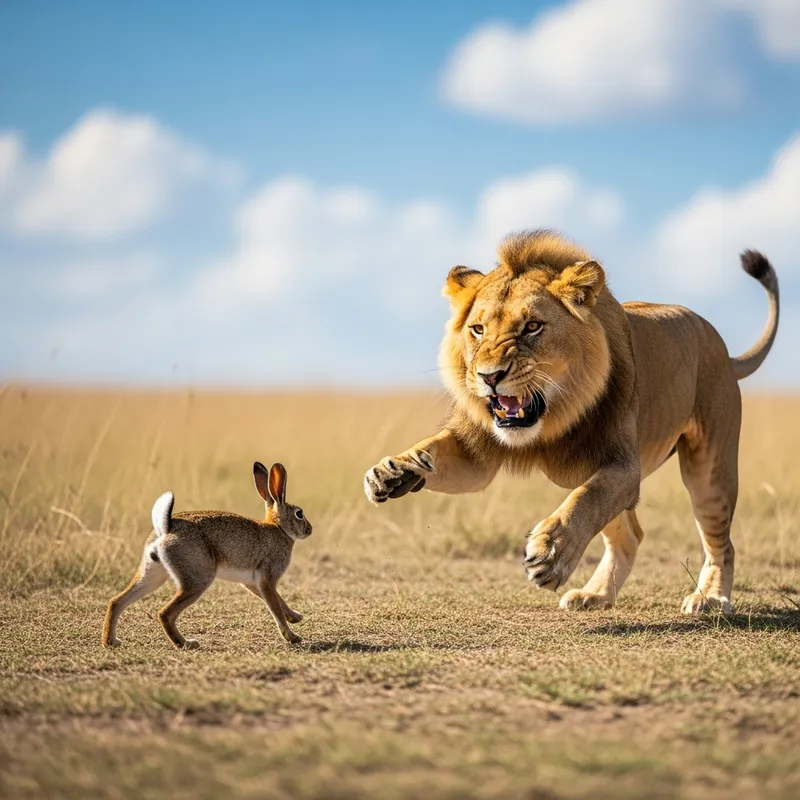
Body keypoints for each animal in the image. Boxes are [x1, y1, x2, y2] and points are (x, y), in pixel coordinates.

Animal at [102, 461, 311, 650]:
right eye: (299, 513)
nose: (309, 529)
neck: (279, 528)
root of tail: (166, 529)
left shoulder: (253, 583)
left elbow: (279, 600)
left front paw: (295, 616)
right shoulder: (267, 579)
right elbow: (275, 608)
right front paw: (293, 637)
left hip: (153, 574)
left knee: (117, 601)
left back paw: (110, 641)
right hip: (198, 579)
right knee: (165, 614)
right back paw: (187, 643)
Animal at [364, 230, 779, 614]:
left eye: (532, 327)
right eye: (477, 330)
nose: (489, 376)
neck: (548, 419)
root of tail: (722, 347)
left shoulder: (622, 466)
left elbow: (585, 500)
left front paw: (551, 555)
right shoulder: (475, 453)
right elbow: (436, 451)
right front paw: (395, 471)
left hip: (709, 471)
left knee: (721, 543)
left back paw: (711, 597)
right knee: (632, 535)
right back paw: (596, 595)